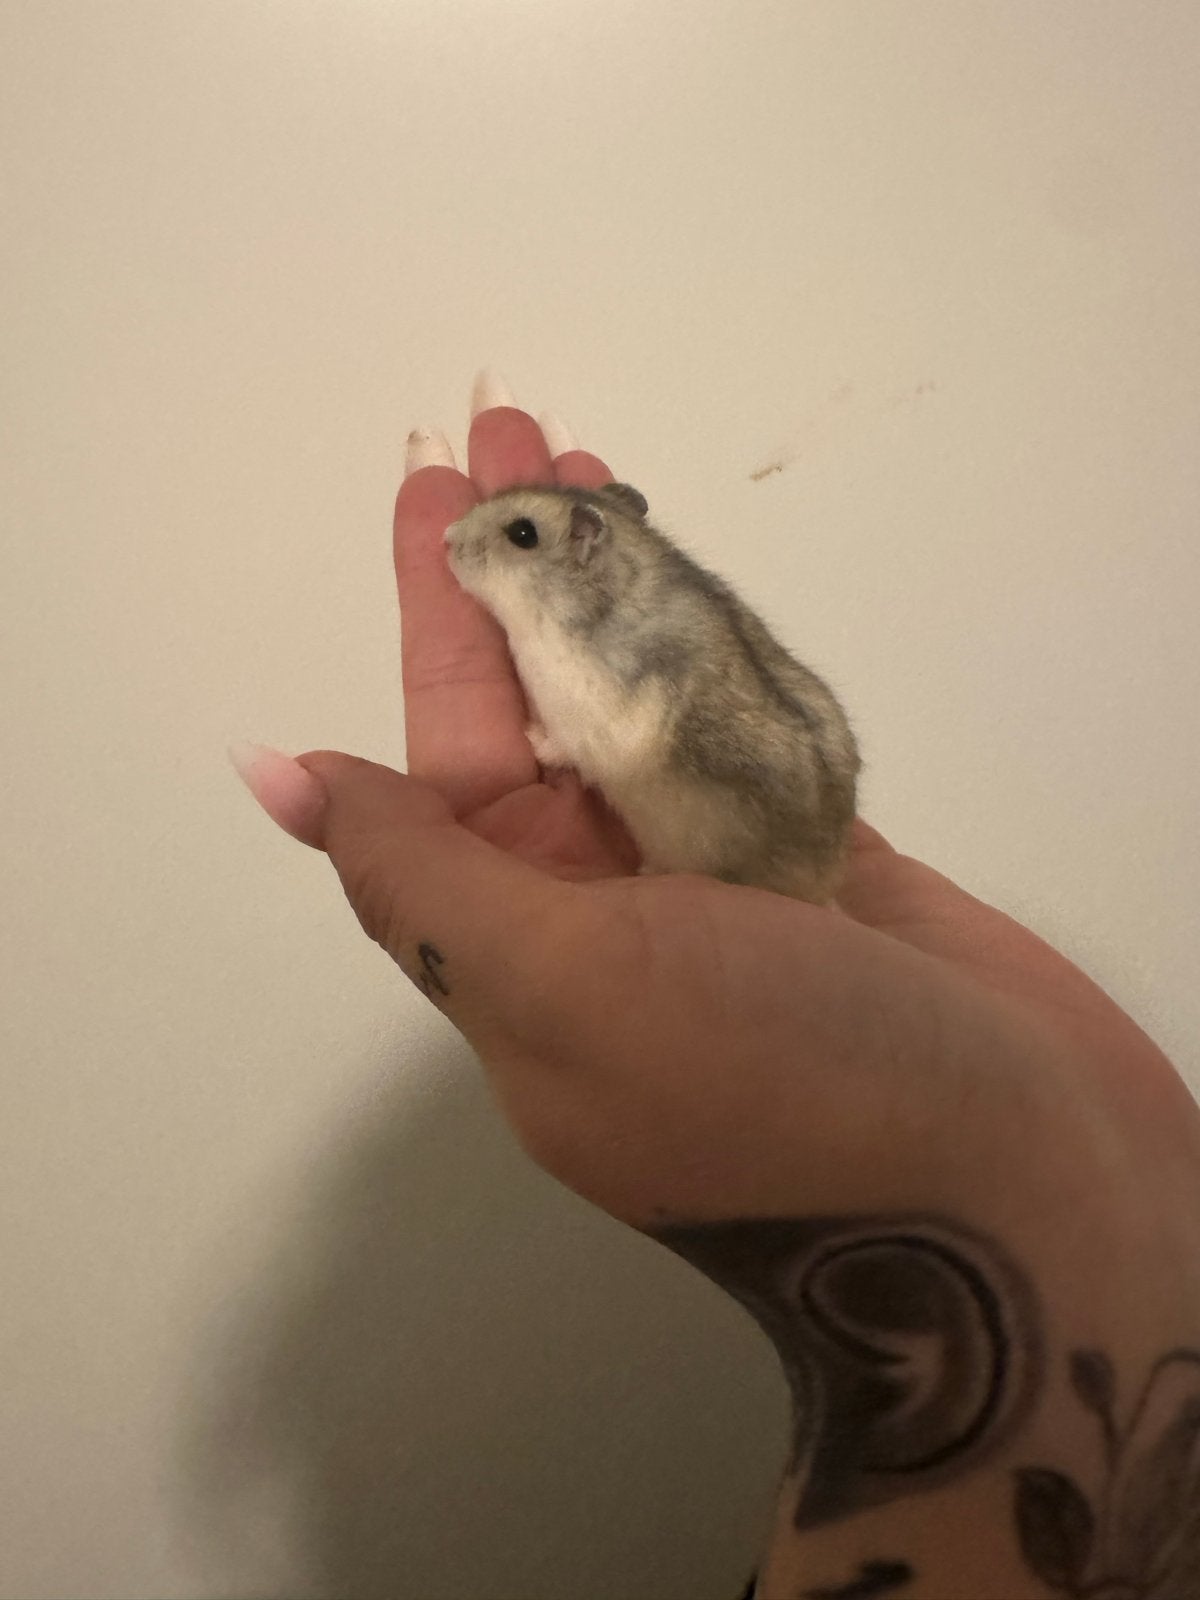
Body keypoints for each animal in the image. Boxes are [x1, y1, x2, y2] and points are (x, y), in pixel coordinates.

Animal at [444, 483, 861, 904]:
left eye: (523, 533)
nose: (447, 537)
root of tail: (821, 888)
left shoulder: (577, 722)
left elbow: (556, 746)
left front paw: (528, 734)